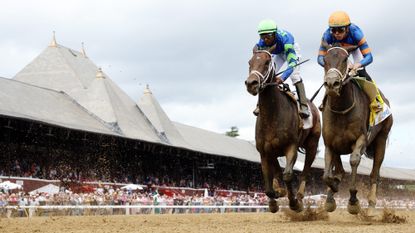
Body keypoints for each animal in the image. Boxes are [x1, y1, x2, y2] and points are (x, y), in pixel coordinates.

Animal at [245, 46, 324, 212]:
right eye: (250, 62)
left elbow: (287, 175)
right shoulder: (265, 151)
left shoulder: (291, 147)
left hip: (312, 145)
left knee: (305, 171)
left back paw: (299, 196)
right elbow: (269, 181)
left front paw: (293, 202)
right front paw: (274, 199)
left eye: (267, 62)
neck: (272, 116)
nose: (251, 83)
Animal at [322, 43, 394, 215]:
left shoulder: (361, 138)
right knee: (340, 171)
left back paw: (371, 205)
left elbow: (354, 161)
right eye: (324, 60)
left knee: (374, 174)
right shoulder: (330, 143)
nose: (332, 84)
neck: (342, 109)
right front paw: (331, 195)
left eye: (345, 59)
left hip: (381, 138)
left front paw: (353, 201)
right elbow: (328, 174)